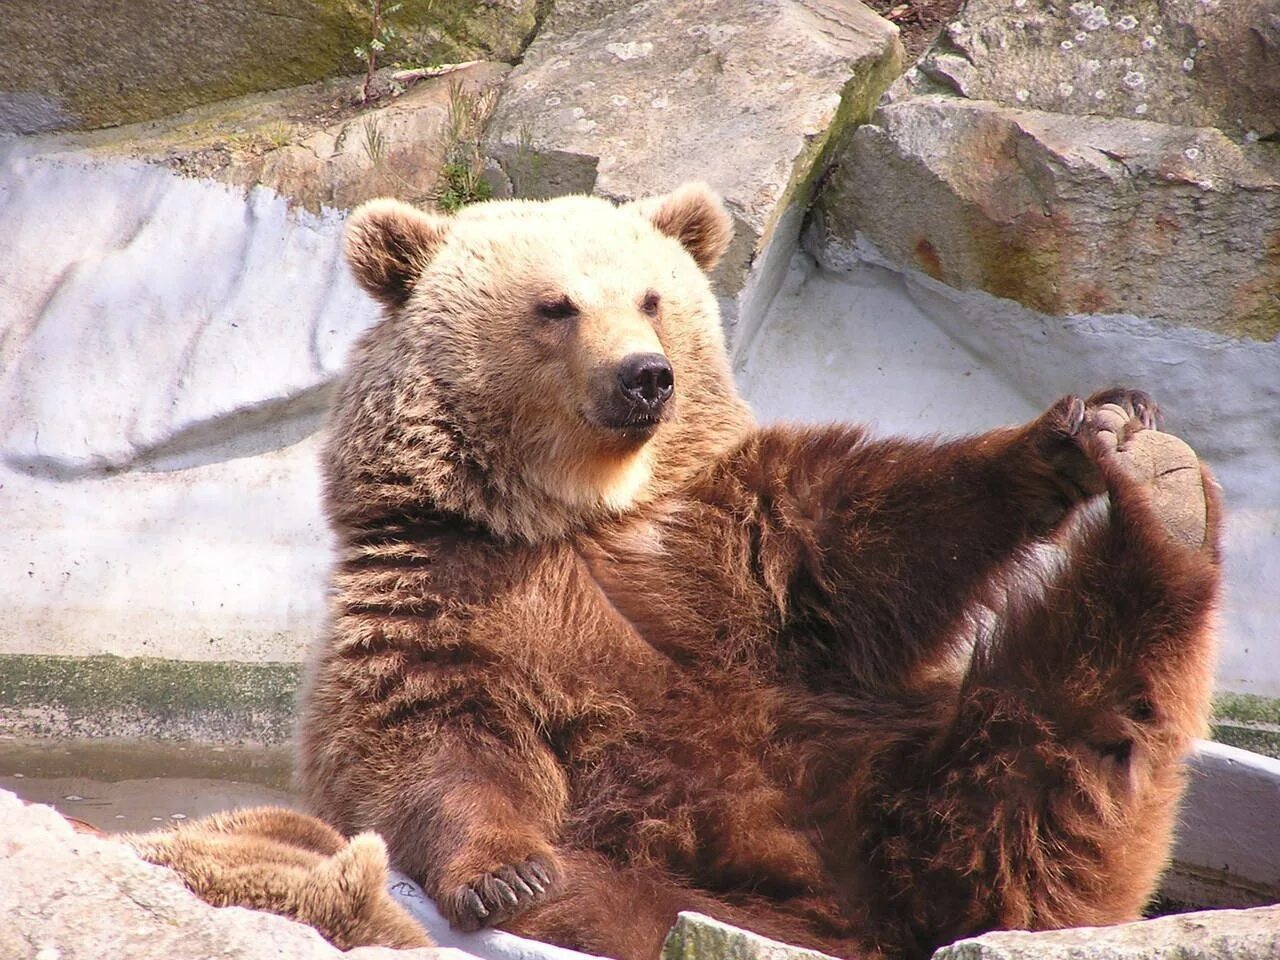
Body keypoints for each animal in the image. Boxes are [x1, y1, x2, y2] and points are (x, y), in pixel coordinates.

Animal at [294, 181, 1223, 960]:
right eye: (555, 305)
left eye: (651, 297)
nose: (645, 376)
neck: (581, 506)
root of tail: (863, 926)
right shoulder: (446, 584)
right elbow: (437, 738)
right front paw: (505, 870)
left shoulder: (740, 537)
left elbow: (894, 528)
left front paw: (1086, 422)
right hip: (691, 876)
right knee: (620, 905)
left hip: (893, 785)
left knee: (1047, 747)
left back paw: (1163, 498)